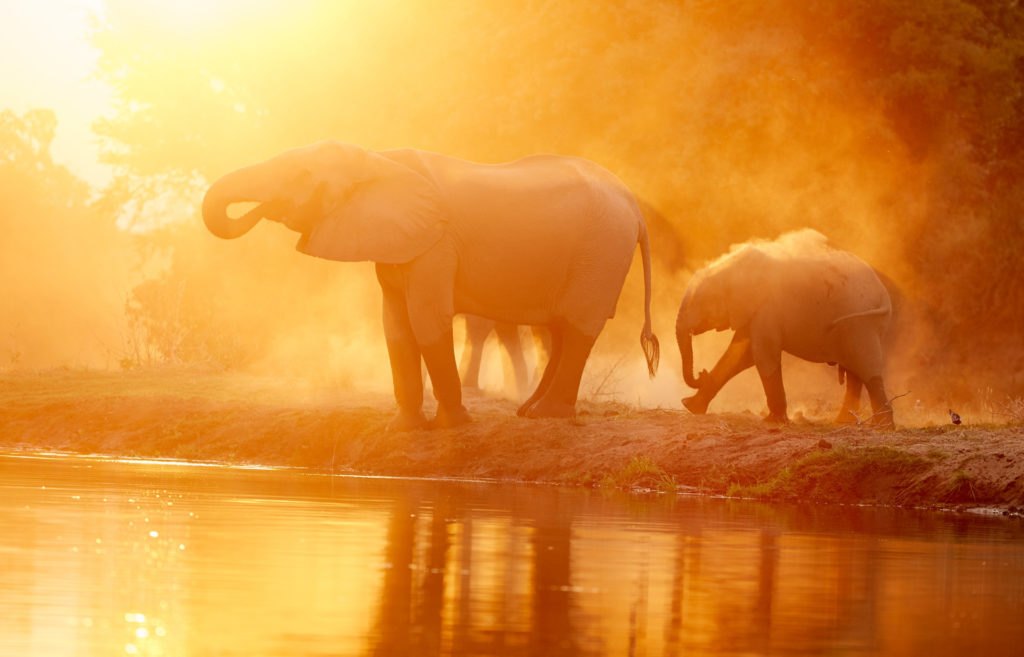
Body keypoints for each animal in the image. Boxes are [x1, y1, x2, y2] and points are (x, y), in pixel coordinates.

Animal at [202, 140, 660, 431]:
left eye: (301, 176)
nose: (261, 210)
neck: (377, 159)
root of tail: (636, 209)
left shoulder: (436, 246)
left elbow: (425, 320)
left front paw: (455, 425)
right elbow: (395, 326)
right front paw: (404, 428)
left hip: (601, 251)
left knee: (578, 329)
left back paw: (546, 416)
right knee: (561, 330)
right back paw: (528, 413)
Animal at [675, 229, 894, 426]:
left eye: (698, 302)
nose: (701, 373)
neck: (734, 268)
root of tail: (884, 296)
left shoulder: (767, 309)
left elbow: (762, 356)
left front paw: (774, 421)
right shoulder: (755, 312)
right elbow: (740, 355)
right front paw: (690, 406)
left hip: (862, 324)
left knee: (867, 368)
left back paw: (883, 425)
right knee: (855, 372)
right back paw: (843, 422)